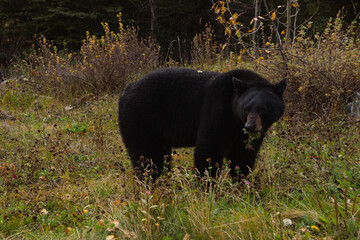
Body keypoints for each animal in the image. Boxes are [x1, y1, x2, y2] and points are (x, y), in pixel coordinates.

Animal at [119, 67, 286, 180]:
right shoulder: (217, 110)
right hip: (140, 118)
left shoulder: (242, 133)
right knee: (147, 156)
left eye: (262, 109)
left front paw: (241, 182)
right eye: (246, 108)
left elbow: (243, 155)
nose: (250, 126)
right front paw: (209, 185)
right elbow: (208, 150)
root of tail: (127, 89)